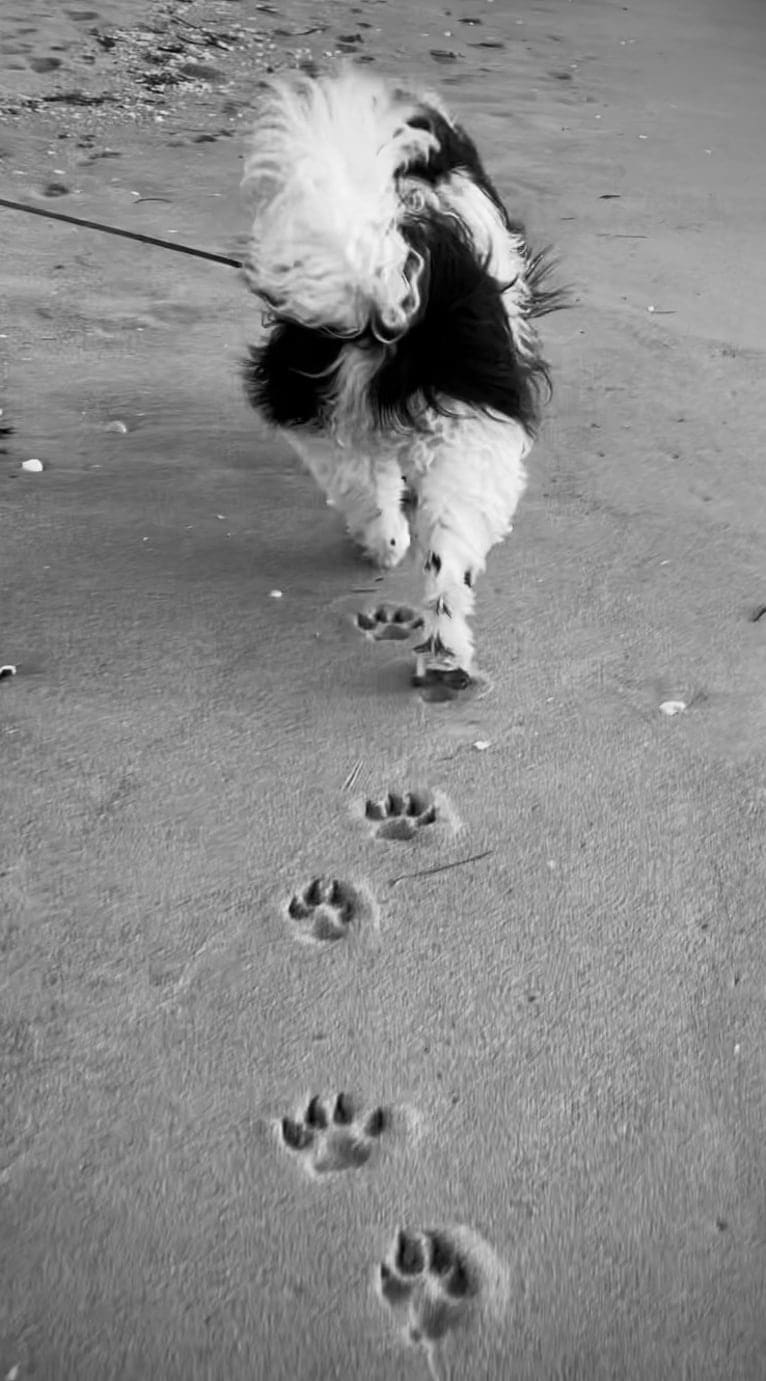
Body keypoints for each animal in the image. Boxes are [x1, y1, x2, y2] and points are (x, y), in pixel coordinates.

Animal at [240, 67, 563, 687]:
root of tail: (390, 283)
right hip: (456, 433)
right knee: (432, 547)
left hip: (335, 411)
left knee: (400, 523)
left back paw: (431, 630)